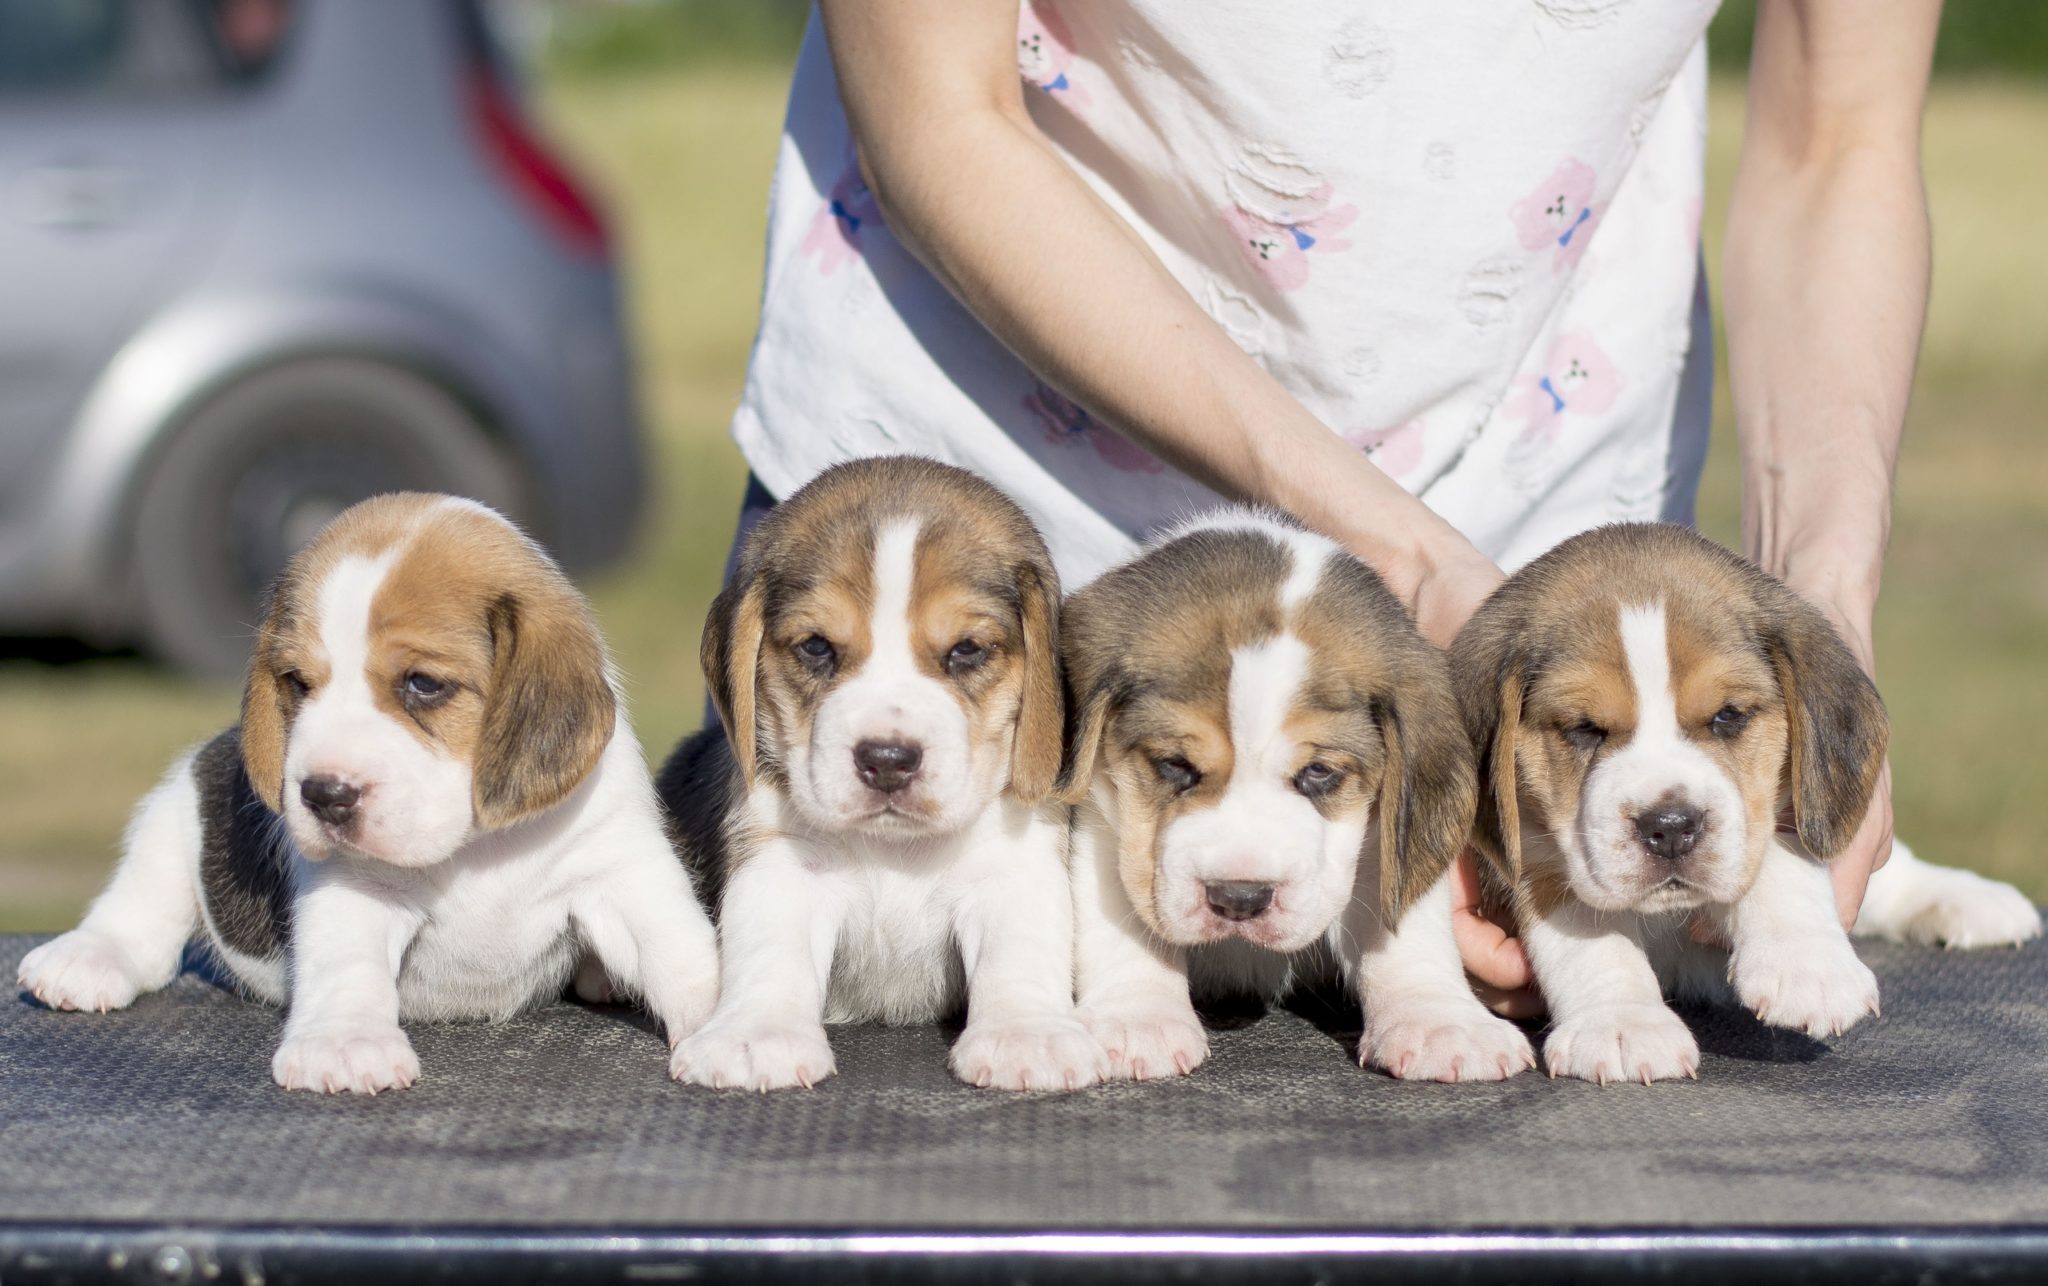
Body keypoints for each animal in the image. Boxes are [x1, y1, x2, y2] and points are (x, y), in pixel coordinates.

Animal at [16, 491, 716, 1097]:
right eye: (297, 683)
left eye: (423, 684)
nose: (323, 794)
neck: (475, 845)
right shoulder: (354, 890)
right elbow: (347, 966)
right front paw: (345, 1043)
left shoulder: (620, 870)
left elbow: (679, 948)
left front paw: (729, 1018)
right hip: (175, 812)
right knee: (141, 911)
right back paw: (87, 958)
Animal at [663, 456, 1097, 1089]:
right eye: (817, 647)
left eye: (966, 651)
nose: (888, 760)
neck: (894, 848)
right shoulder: (782, 862)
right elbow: (770, 949)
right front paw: (755, 1035)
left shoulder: (1013, 864)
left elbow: (1019, 950)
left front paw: (1027, 1035)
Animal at [1064, 507, 1531, 1081]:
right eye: (1175, 766)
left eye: (1318, 773)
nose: (1239, 898)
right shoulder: (1108, 821)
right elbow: (1124, 921)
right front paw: (1137, 1018)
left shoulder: (1381, 839)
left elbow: (1407, 932)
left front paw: (1442, 1023)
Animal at [1449, 522, 2039, 1081]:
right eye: (1584, 729)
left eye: (1728, 716)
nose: (1670, 826)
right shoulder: (1531, 854)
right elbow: (1588, 932)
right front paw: (1623, 1023)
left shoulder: (1774, 811)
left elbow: (1778, 857)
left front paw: (1808, 966)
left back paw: (1963, 896)